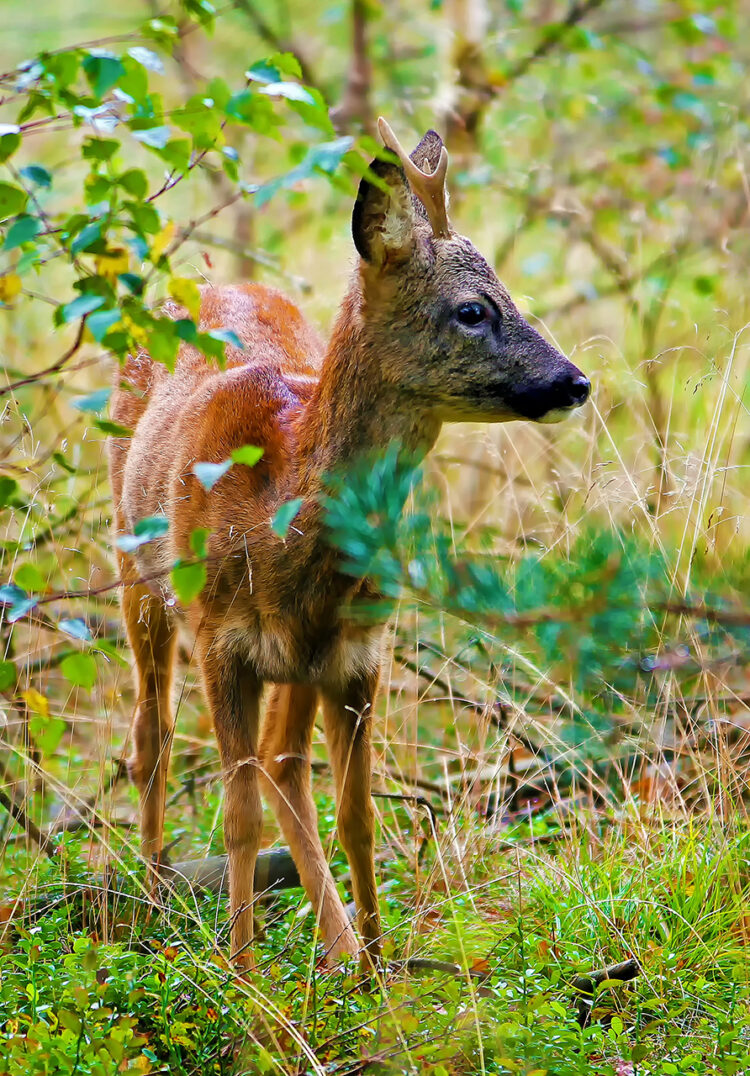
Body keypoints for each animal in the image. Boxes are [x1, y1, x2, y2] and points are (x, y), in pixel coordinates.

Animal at [109, 117, 589, 968]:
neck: (279, 514)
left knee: (284, 762)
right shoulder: (221, 641)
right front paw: (242, 977)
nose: (575, 381)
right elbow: (238, 816)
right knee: (152, 735)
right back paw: (155, 900)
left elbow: (359, 814)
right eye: (472, 310)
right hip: (138, 573)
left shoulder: (357, 650)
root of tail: (200, 279)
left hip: (300, 655)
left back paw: (334, 947)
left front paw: (375, 967)